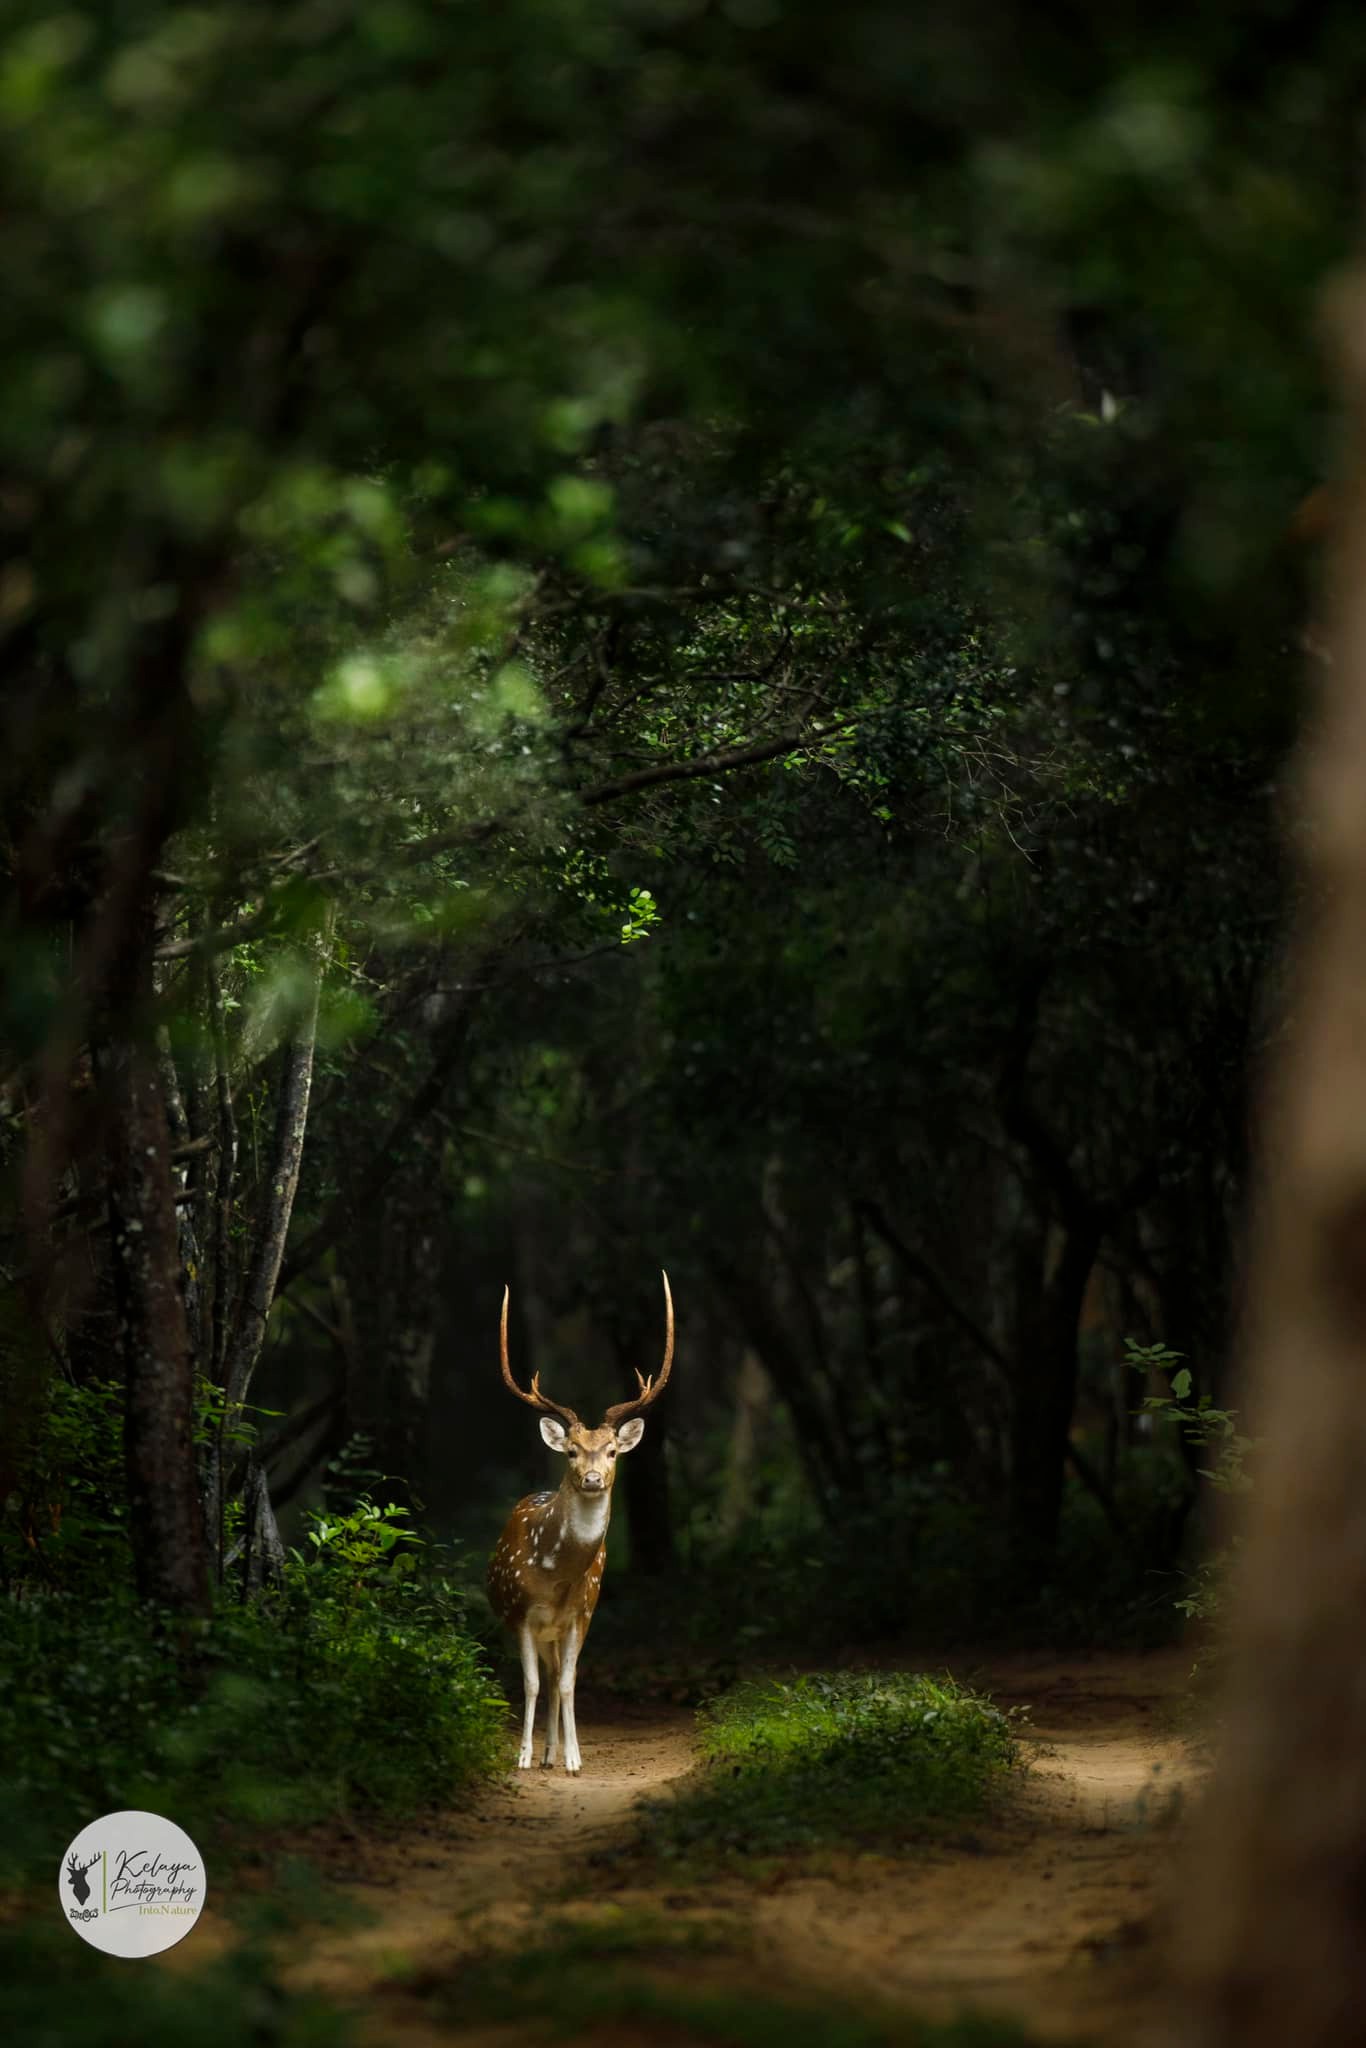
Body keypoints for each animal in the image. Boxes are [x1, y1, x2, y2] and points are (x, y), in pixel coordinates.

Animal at [486, 1271, 674, 1774]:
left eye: (611, 1452)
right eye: (571, 1451)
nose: (591, 1478)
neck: (554, 1576)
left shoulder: (579, 1615)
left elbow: (569, 1682)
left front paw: (573, 1757)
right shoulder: (521, 1614)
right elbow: (530, 1684)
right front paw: (523, 1756)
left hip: (571, 1621)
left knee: (557, 1678)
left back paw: (555, 1752)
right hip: (529, 1624)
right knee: (545, 1678)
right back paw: (543, 1752)